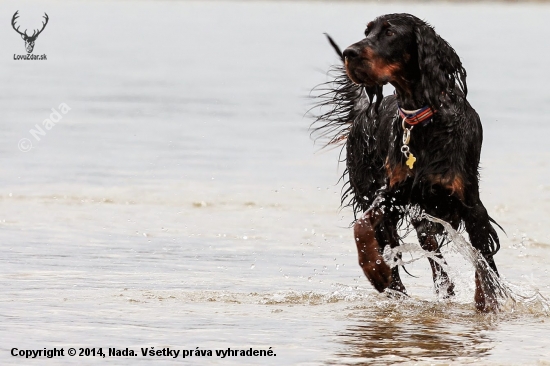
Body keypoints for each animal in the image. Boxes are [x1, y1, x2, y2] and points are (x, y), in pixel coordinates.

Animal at [312, 14, 502, 312]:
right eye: (367, 32)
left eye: (390, 33)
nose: (348, 53)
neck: (425, 118)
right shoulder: (394, 193)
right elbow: (362, 227)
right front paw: (375, 270)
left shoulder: (469, 200)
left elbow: (485, 259)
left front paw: (488, 302)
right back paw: (395, 288)